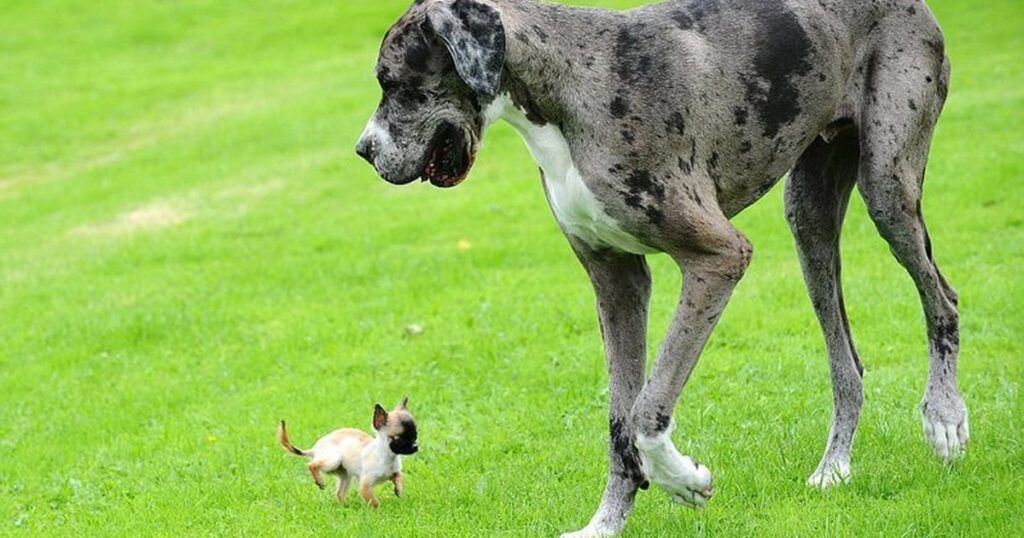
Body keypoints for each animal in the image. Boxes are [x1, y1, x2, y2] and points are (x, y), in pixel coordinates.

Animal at [278, 395, 417, 506]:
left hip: (345, 475)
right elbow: (374, 502)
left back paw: (344, 506)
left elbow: (399, 476)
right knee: (312, 465)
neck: (388, 457)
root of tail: (315, 449)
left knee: (339, 493)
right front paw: (378, 512)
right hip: (333, 460)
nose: (416, 446)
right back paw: (319, 481)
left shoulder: (394, 472)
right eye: (399, 440)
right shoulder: (365, 485)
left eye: (415, 435)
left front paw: (399, 490)